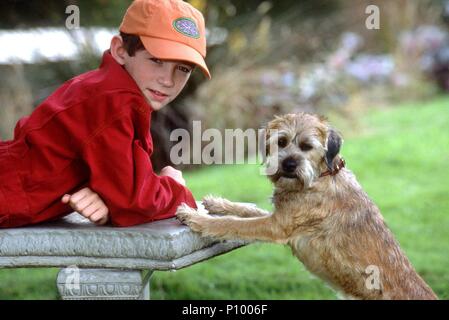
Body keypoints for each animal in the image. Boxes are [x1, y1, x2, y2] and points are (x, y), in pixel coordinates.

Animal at [177, 113, 436, 300]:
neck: (322, 177)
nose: (288, 164)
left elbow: (232, 224)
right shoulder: (279, 216)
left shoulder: (276, 226)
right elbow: (246, 209)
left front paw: (197, 218)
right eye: (281, 142)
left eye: (307, 146)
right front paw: (217, 203)